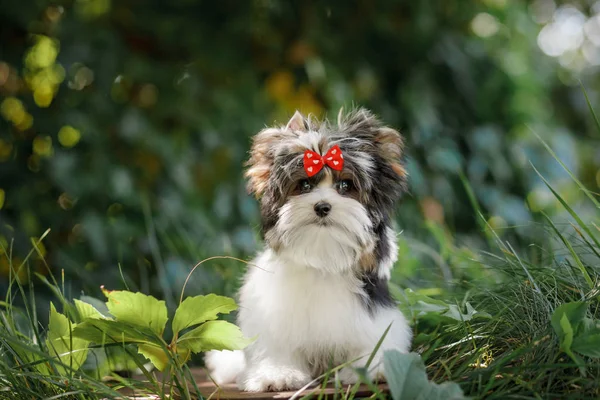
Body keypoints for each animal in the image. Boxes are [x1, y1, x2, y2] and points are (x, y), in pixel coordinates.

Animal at [206, 108, 412, 390]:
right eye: (304, 185)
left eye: (345, 186)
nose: (322, 206)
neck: (323, 257)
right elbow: (276, 347)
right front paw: (278, 374)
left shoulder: (373, 318)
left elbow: (373, 342)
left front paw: (375, 367)